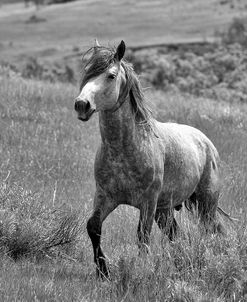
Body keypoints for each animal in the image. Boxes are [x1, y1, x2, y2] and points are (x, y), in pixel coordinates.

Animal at [74, 41, 225, 280]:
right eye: (87, 73)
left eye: (111, 75)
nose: (82, 105)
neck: (124, 148)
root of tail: (206, 142)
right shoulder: (105, 196)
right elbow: (93, 226)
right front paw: (103, 271)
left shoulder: (148, 202)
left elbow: (142, 236)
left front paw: (140, 270)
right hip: (165, 209)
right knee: (176, 235)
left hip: (205, 203)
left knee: (212, 231)